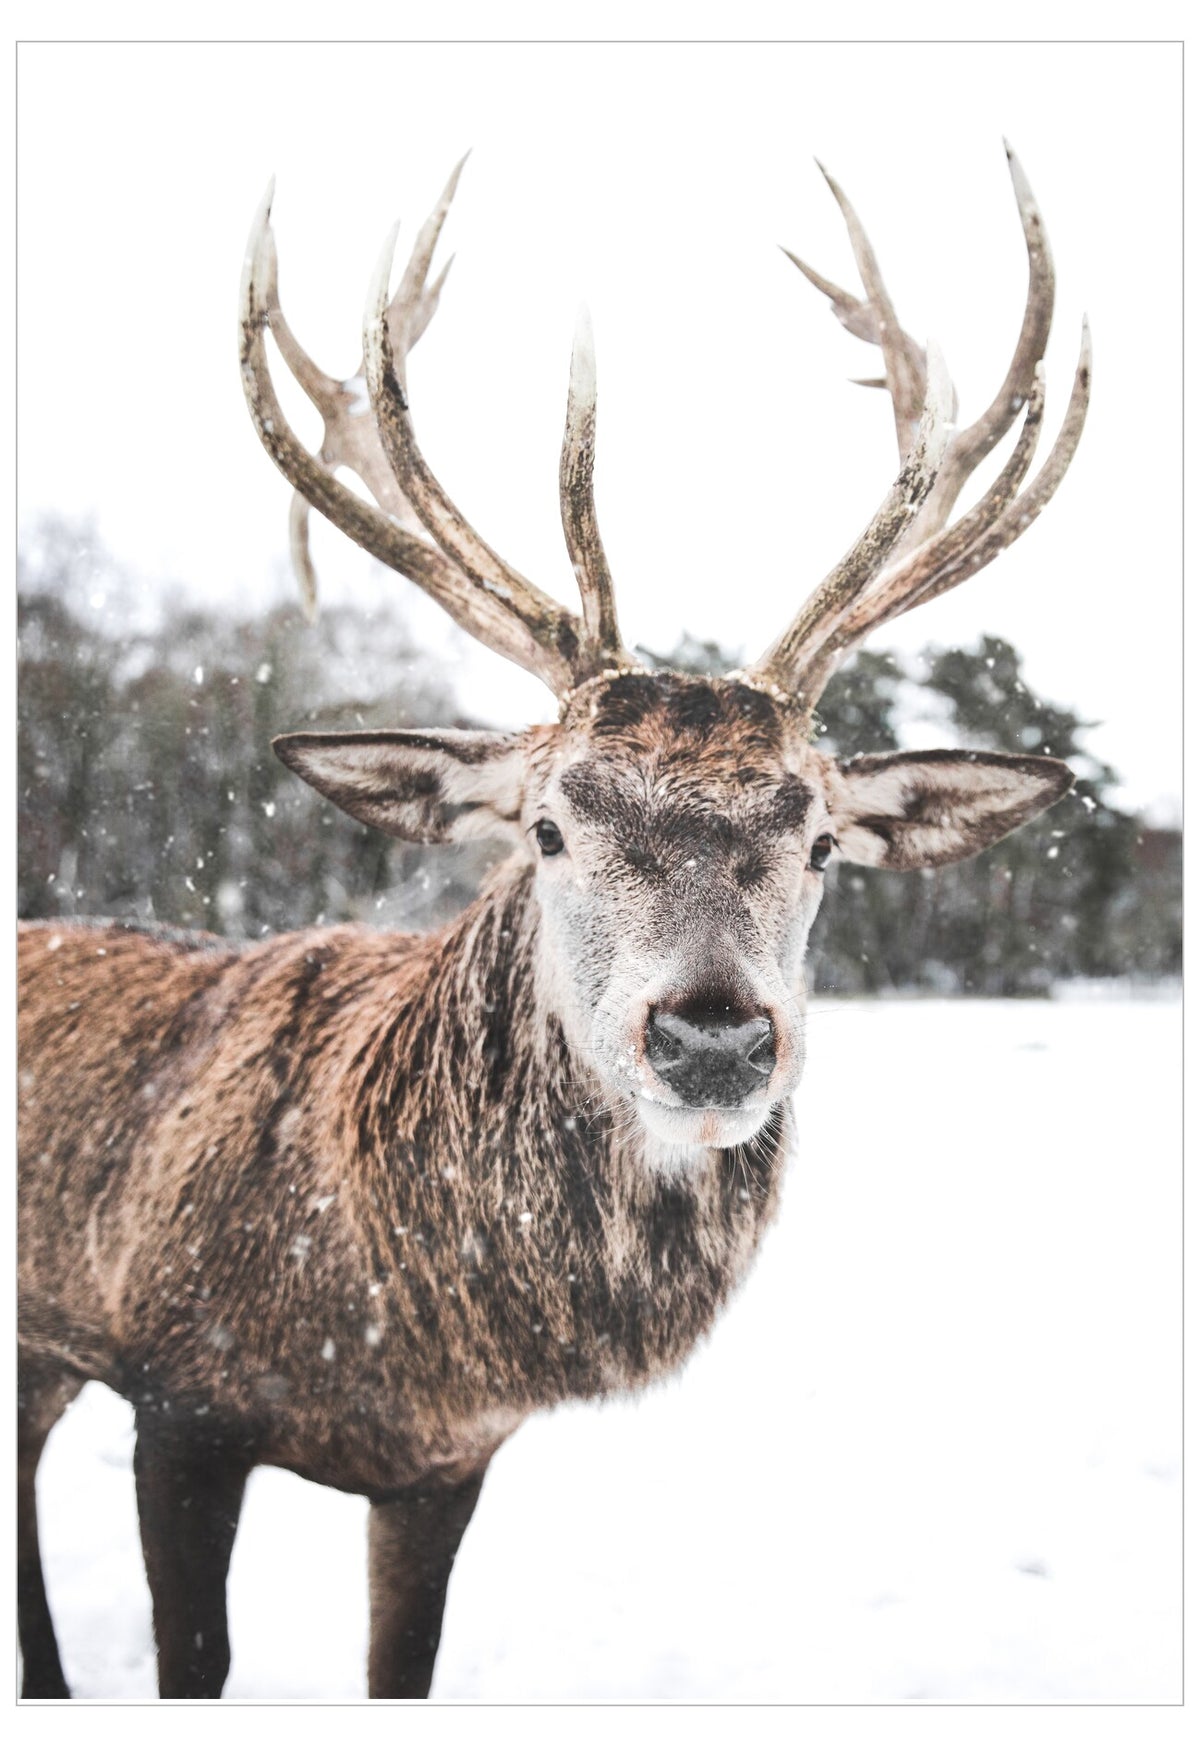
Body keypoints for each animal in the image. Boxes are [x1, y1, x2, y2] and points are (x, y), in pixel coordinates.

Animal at [17, 145, 1089, 1701]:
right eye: (546, 825)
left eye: (823, 841)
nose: (713, 1036)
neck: (393, 1330)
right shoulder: (175, 1389)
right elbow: (193, 1658)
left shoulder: (444, 1466)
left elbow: (403, 1668)